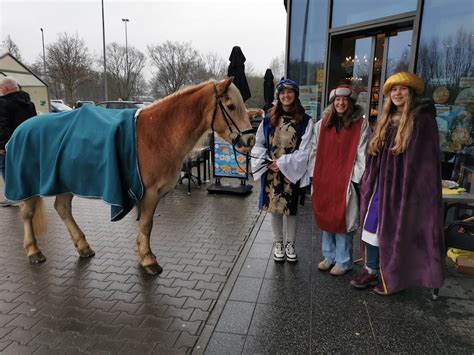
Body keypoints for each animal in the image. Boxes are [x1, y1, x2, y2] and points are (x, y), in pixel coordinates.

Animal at [4, 79, 256, 276]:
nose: (250, 140)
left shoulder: (155, 193)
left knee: (63, 209)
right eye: (231, 106)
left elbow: (146, 224)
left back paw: (83, 247)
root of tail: (21, 129)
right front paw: (148, 260)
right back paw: (34, 251)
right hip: (28, 185)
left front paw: (144, 255)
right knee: (27, 213)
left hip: (64, 182)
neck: (157, 133)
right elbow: (146, 224)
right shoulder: (150, 192)